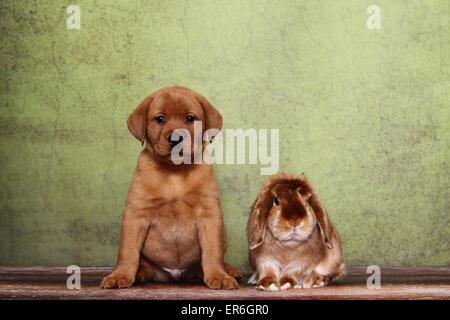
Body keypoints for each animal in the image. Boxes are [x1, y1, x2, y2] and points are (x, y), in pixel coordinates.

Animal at [100, 87, 241, 290]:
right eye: (160, 119)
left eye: (190, 118)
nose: (176, 139)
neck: (175, 172)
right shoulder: (136, 214)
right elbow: (127, 251)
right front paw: (120, 275)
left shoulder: (209, 214)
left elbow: (213, 252)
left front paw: (218, 275)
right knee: (144, 263)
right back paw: (140, 272)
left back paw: (228, 270)